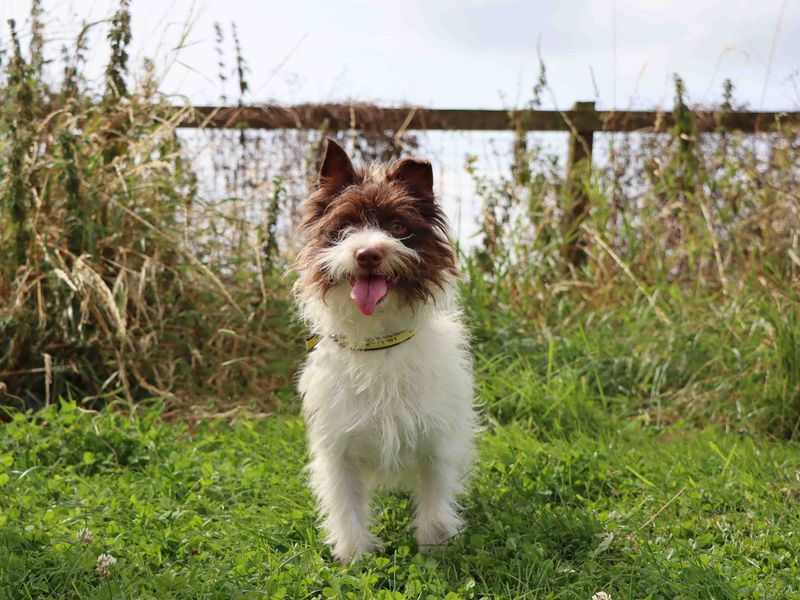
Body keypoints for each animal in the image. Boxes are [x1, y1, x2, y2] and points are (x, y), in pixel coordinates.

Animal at [296, 139, 478, 564]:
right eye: (345, 227)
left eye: (397, 227)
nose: (367, 254)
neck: (377, 341)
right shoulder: (338, 445)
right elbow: (345, 503)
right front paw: (354, 556)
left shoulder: (436, 440)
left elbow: (435, 500)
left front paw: (434, 552)